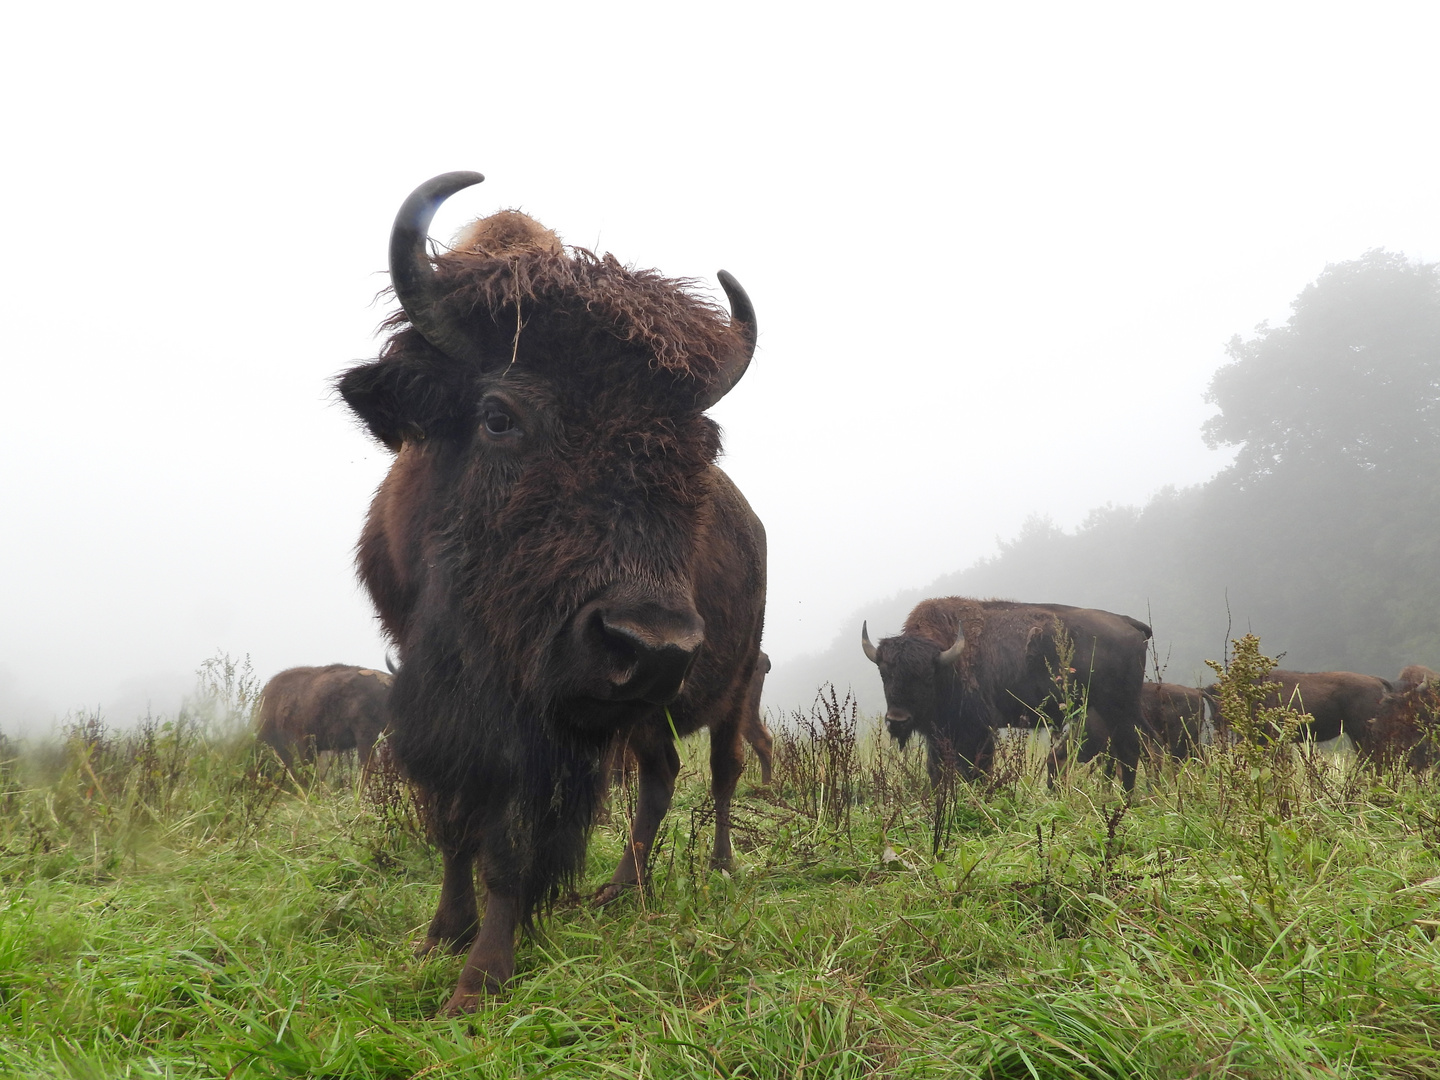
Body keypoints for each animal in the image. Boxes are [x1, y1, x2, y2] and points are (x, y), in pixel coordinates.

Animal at [858, 596, 1152, 789]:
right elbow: (937, 769)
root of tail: (1128, 622)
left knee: (1129, 751)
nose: (897, 721)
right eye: (884, 673)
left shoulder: (978, 730)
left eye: (927, 676)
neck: (947, 659)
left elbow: (977, 768)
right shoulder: (940, 734)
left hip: (1118, 710)